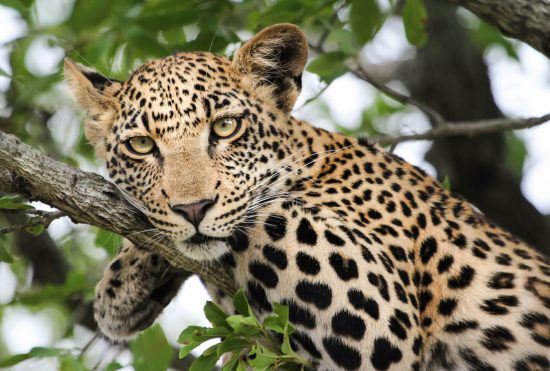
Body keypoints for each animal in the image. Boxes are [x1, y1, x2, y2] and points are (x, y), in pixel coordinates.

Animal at [66, 24, 550, 370]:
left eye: (225, 127)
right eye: (141, 145)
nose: (193, 209)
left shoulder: (380, 314)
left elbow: (264, 209)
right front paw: (120, 290)